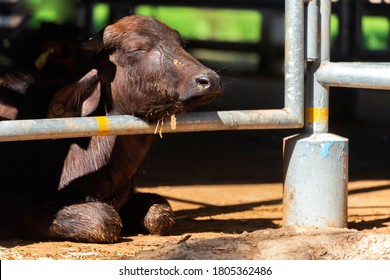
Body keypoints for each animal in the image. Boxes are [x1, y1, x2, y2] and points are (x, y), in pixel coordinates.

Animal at [0, 15, 222, 243]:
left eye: (182, 44)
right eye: (136, 49)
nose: (210, 80)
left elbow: (160, 213)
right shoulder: (17, 202)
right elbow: (105, 219)